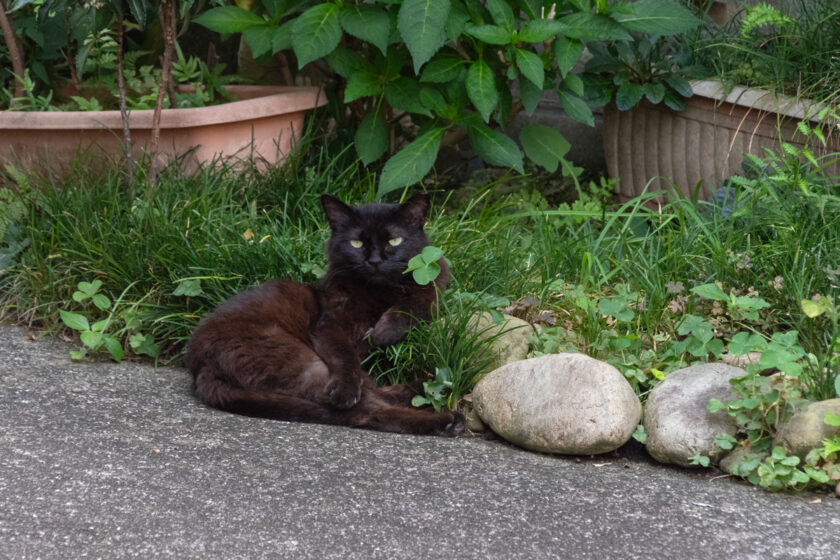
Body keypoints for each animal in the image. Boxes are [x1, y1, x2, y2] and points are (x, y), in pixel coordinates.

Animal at [183, 195, 466, 436]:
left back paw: (424, 386)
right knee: (368, 411)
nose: (374, 260)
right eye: (356, 243)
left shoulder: (434, 285)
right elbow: (345, 357)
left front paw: (384, 332)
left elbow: (415, 305)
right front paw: (346, 388)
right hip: (297, 358)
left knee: (375, 394)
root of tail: (201, 367)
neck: (378, 292)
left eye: (394, 241)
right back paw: (445, 420)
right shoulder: (328, 324)